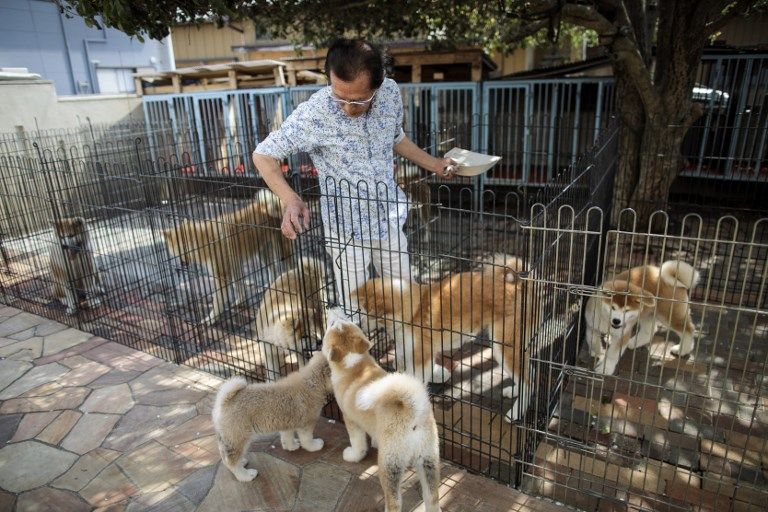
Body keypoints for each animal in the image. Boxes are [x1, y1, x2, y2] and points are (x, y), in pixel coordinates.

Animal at [164, 188, 292, 324]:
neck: (205, 241)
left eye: (180, 251)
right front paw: (240, 301)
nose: (182, 264)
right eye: (175, 253)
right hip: (262, 254)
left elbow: (218, 302)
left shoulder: (221, 276)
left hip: (281, 250)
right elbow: (239, 287)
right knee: (273, 269)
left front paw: (211, 319)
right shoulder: (234, 267)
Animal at [212, 350, 332, 482]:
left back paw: (241, 462)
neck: (313, 381)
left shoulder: (288, 422)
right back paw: (246, 475)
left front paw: (291, 446)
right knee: (232, 461)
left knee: (226, 457)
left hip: (227, 437)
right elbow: (307, 439)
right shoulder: (306, 423)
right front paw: (314, 446)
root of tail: (225, 401)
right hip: (239, 436)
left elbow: (287, 437)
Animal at [320, 308, 440, 512]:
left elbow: (358, 444)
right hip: (428, 459)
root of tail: (413, 410)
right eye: (344, 318)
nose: (333, 306)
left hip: (390, 465)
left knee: (394, 502)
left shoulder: (350, 420)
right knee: (432, 497)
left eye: (333, 323)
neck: (353, 364)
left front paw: (353, 456)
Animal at [352, 254, 540, 422]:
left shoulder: (422, 358)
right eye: (360, 310)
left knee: (528, 381)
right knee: (529, 374)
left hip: (504, 347)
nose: (359, 325)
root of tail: (519, 284)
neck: (413, 311)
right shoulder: (411, 354)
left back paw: (516, 412)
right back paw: (514, 392)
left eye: (366, 313)